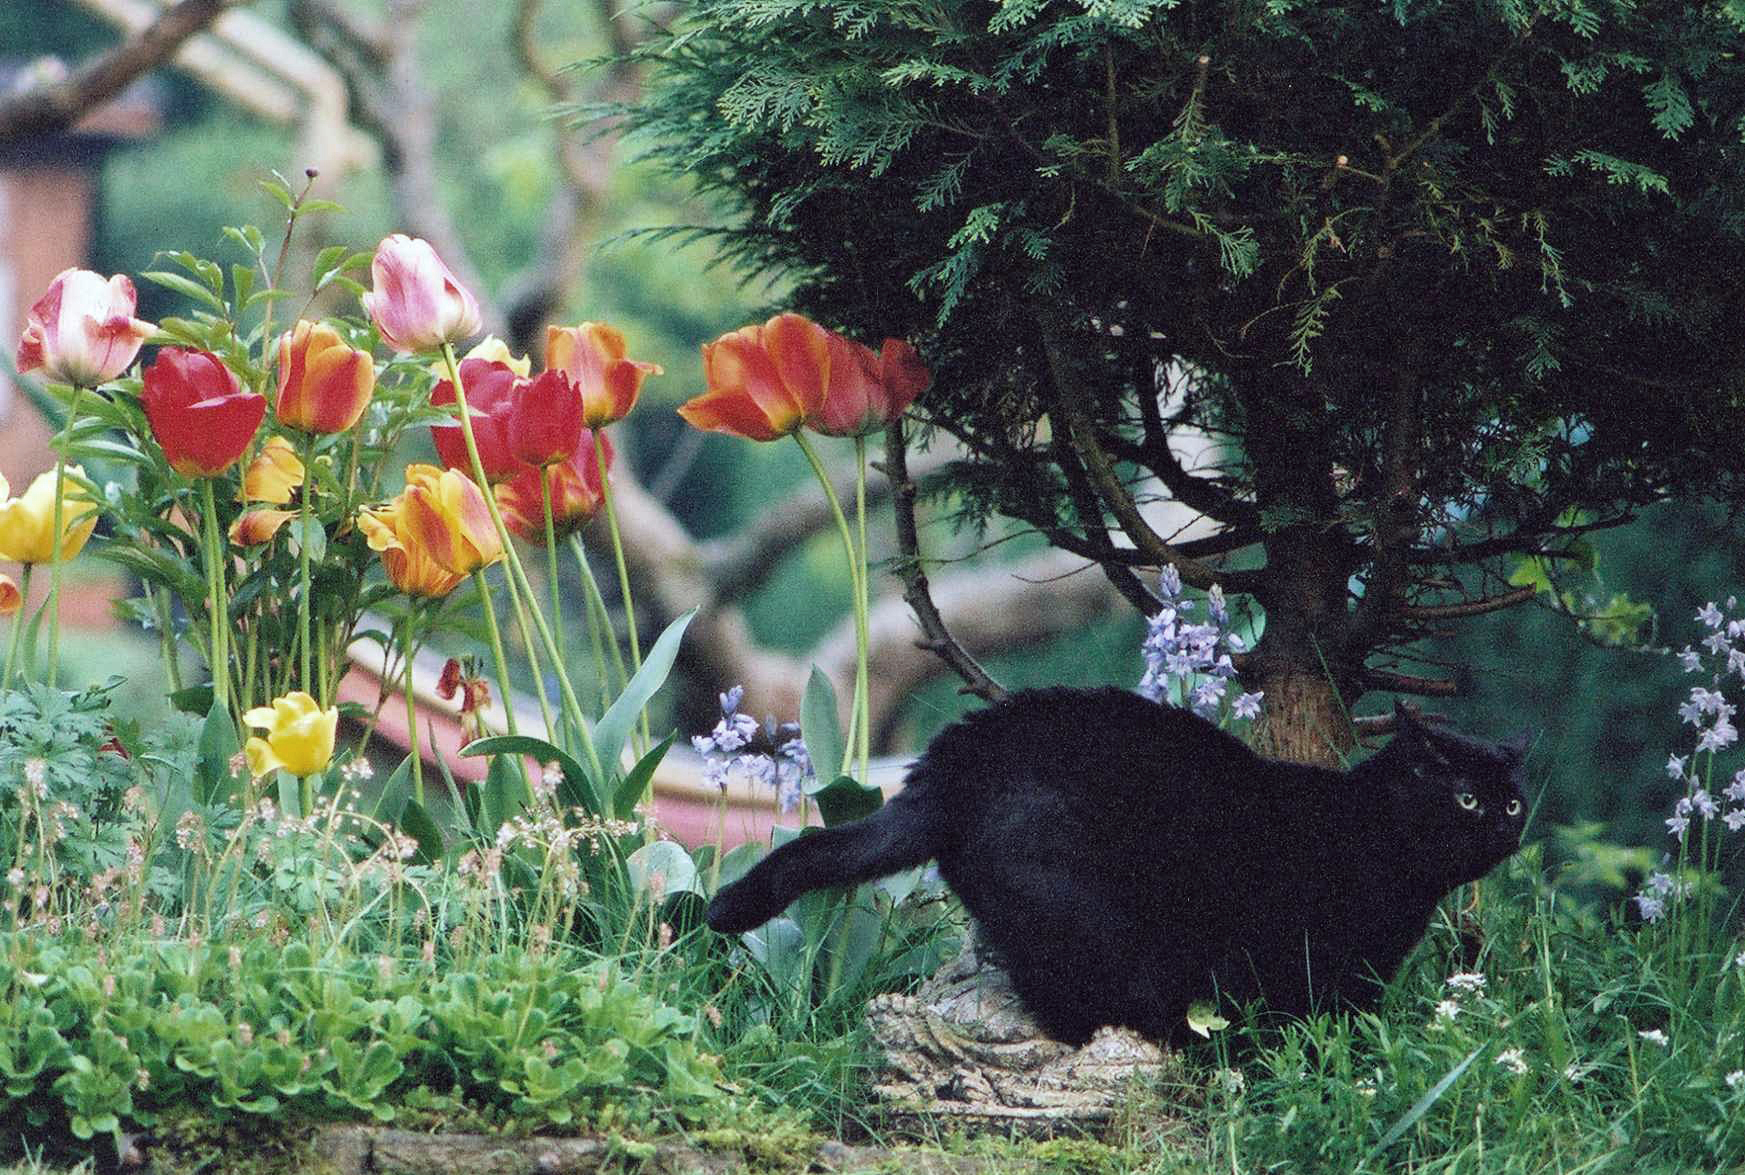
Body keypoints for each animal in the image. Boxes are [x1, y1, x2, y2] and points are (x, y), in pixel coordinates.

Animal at [706, 685, 1531, 1045]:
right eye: (1464, 798)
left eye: (1514, 803)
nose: (1501, 826)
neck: (1371, 838)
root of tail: (952, 762)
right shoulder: (1300, 955)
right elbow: (1304, 1016)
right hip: (1080, 906)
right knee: (1073, 995)